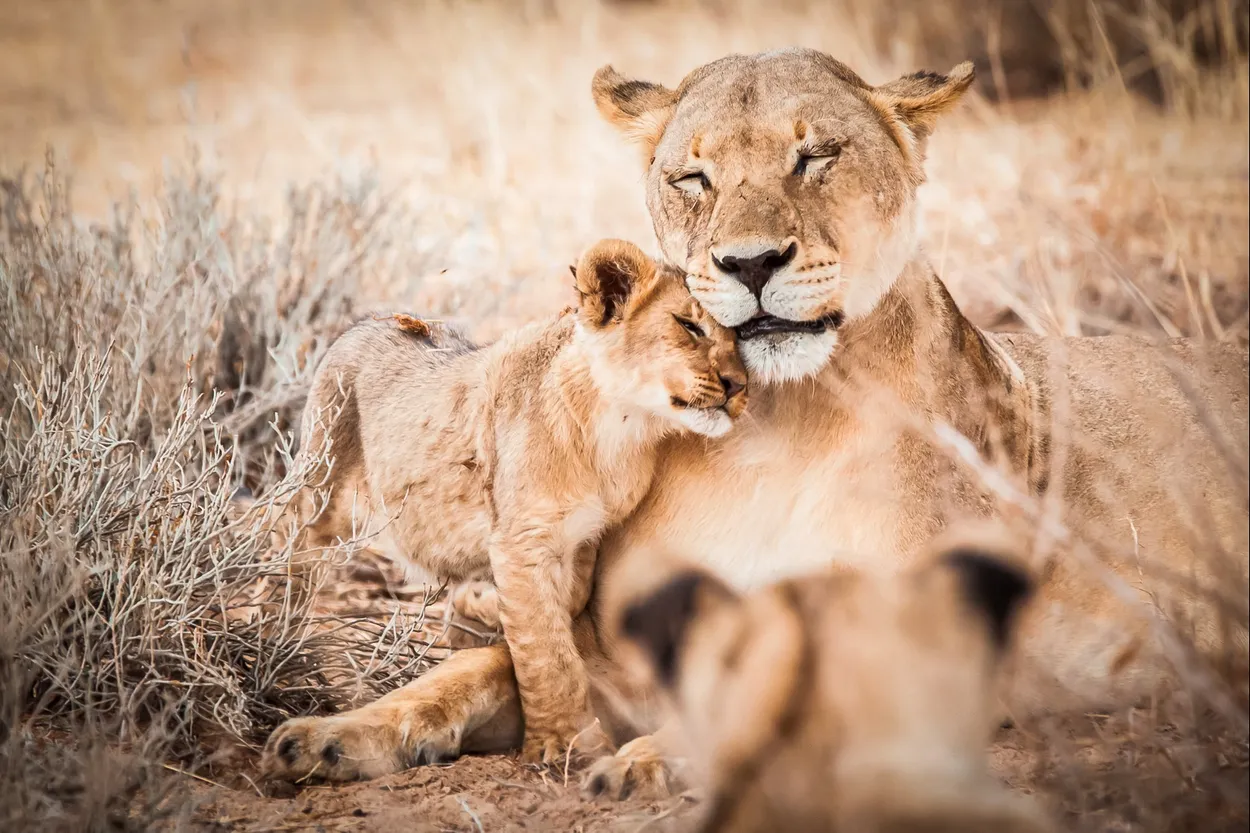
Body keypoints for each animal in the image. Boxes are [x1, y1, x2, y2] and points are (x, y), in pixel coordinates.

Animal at [261, 239, 747, 778]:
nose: (740, 384)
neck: (621, 429)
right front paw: (563, 742)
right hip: (320, 486)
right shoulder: (523, 540)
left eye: (740, 338)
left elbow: (557, 620)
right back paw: (275, 640)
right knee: (289, 553)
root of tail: (366, 321)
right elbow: (548, 655)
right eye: (689, 326)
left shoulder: (583, 539)